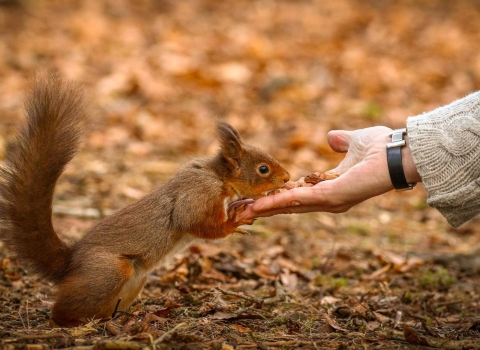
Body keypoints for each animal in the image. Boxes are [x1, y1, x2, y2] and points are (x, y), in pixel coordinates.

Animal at [0, 74, 288, 328]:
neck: (217, 176)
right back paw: (72, 321)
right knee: (62, 309)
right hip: (108, 273)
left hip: (133, 282)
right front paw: (234, 220)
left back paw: (111, 319)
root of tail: (71, 262)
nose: (286, 178)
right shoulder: (197, 193)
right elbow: (194, 221)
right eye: (263, 169)